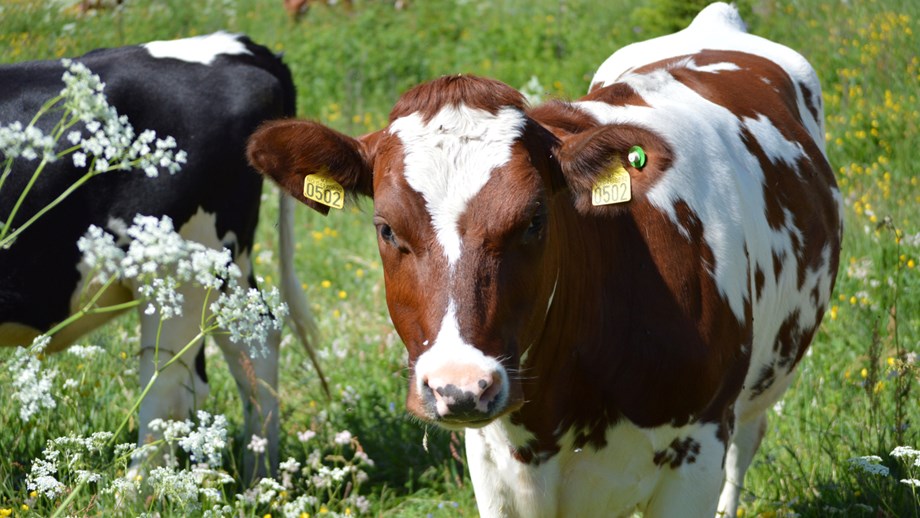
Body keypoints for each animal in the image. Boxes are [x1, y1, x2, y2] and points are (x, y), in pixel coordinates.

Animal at [0, 31, 322, 480]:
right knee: (253, 342)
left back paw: (133, 490)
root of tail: (237, 44)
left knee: (165, 384)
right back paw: (259, 476)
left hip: (177, 270)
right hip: (224, 266)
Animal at [246, 3, 840, 516]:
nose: (460, 386)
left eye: (534, 220)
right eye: (387, 228)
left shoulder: (699, 449)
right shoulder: (496, 467)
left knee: (748, 444)